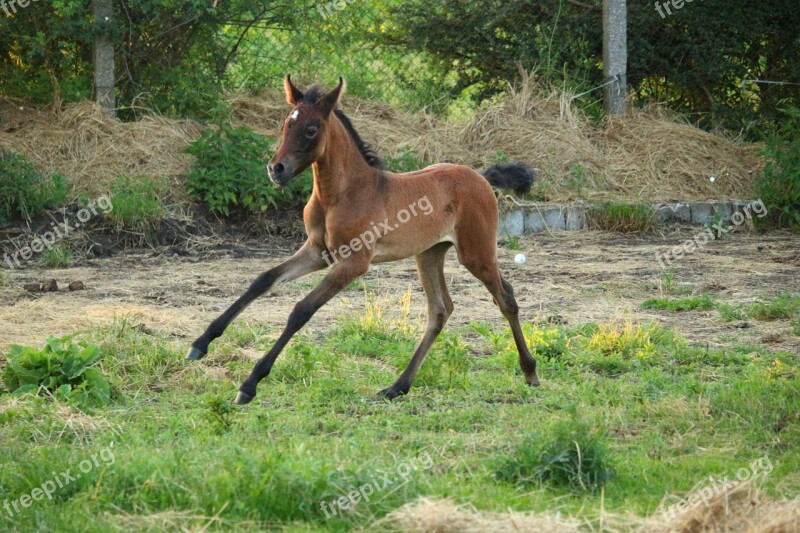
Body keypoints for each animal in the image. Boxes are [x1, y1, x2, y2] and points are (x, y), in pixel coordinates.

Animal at [184, 77, 540, 404]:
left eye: (311, 129)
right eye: (287, 123)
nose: (276, 169)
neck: (341, 195)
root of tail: (481, 176)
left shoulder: (354, 261)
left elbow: (301, 309)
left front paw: (250, 383)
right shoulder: (316, 252)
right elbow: (263, 280)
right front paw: (200, 343)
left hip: (475, 252)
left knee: (505, 298)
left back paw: (530, 372)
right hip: (428, 254)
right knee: (440, 310)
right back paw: (397, 387)